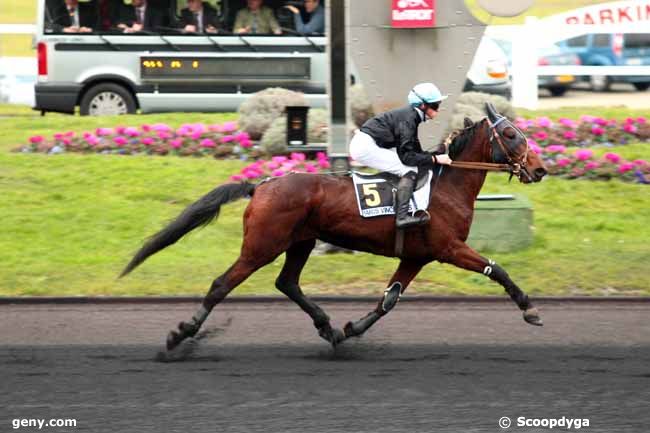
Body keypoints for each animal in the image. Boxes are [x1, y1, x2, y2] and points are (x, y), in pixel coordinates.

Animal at [120, 103, 548, 350]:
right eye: (510, 134)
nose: (540, 169)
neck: (448, 185)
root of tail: (262, 184)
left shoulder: (416, 257)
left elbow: (388, 300)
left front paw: (350, 328)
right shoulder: (449, 249)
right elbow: (497, 269)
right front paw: (530, 309)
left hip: (301, 242)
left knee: (287, 282)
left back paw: (327, 326)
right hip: (262, 246)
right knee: (222, 284)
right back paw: (181, 333)